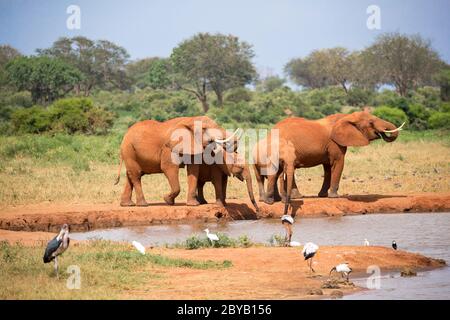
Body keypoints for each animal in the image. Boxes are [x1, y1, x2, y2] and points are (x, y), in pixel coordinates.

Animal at [253, 110, 404, 212]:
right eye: (371, 123)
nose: (384, 133)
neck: (346, 116)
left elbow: (327, 168)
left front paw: (323, 195)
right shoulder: (335, 143)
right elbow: (338, 163)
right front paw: (334, 196)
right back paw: (294, 197)